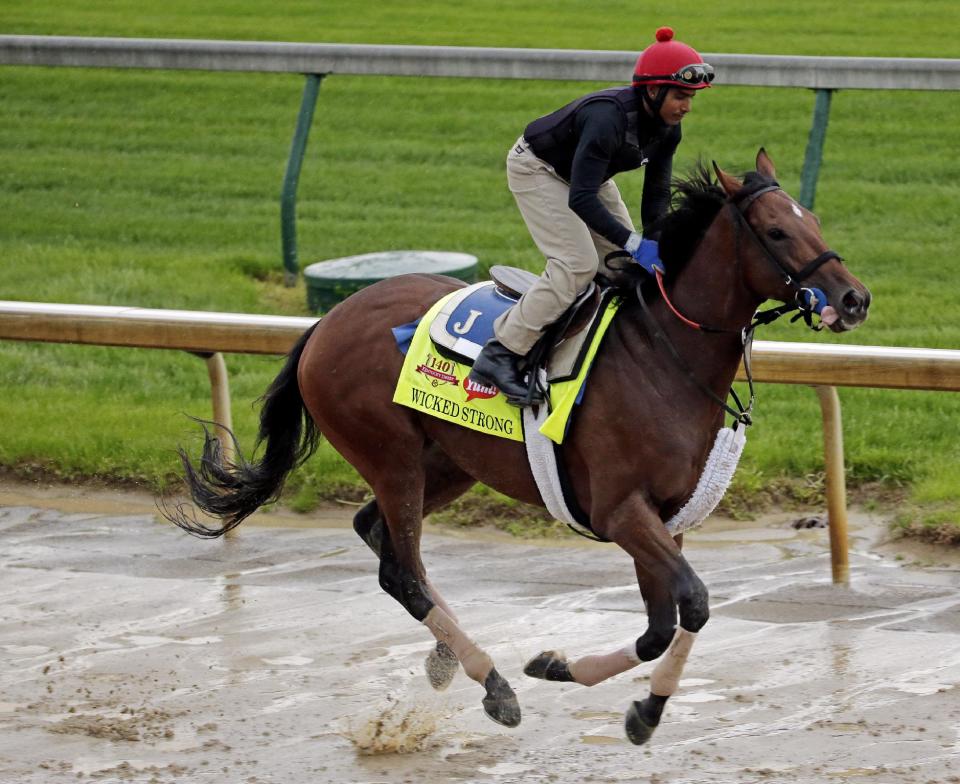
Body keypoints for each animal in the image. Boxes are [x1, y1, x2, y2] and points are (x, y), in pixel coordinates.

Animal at [165, 150, 872, 744]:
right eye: (776, 232)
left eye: (813, 220)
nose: (853, 298)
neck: (663, 355)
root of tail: (324, 324)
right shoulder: (621, 511)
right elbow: (692, 604)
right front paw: (631, 702)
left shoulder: (664, 517)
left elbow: (660, 626)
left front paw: (587, 680)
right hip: (391, 458)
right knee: (402, 570)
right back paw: (492, 683)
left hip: (449, 463)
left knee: (381, 535)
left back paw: (447, 658)